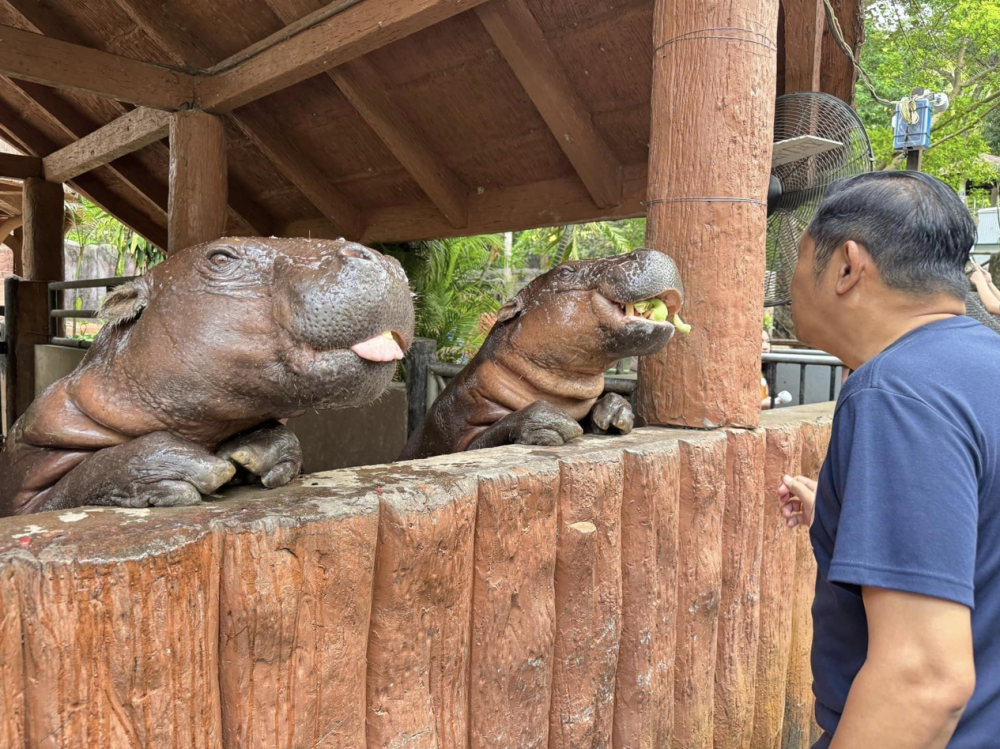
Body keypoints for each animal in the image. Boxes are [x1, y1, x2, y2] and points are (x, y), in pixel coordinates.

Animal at [0, 237, 414, 516]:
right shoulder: (28, 474)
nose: (377, 255)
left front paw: (256, 452)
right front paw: (191, 468)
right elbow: (70, 486)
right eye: (219, 256)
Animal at [398, 250, 688, 462]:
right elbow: (485, 438)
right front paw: (549, 421)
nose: (646, 251)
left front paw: (614, 410)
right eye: (566, 271)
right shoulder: (454, 431)